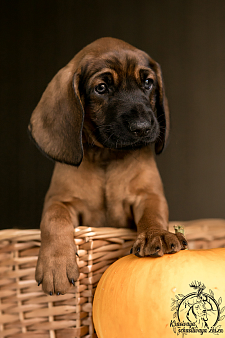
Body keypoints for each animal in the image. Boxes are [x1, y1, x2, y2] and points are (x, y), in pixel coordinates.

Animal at [28, 38, 186, 294]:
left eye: (148, 83)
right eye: (101, 88)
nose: (142, 127)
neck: (107, 156)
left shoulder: (149, 195)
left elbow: (152, 214)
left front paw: (157, 235)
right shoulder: (60, 200)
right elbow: (54, 219)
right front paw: (56, 264)